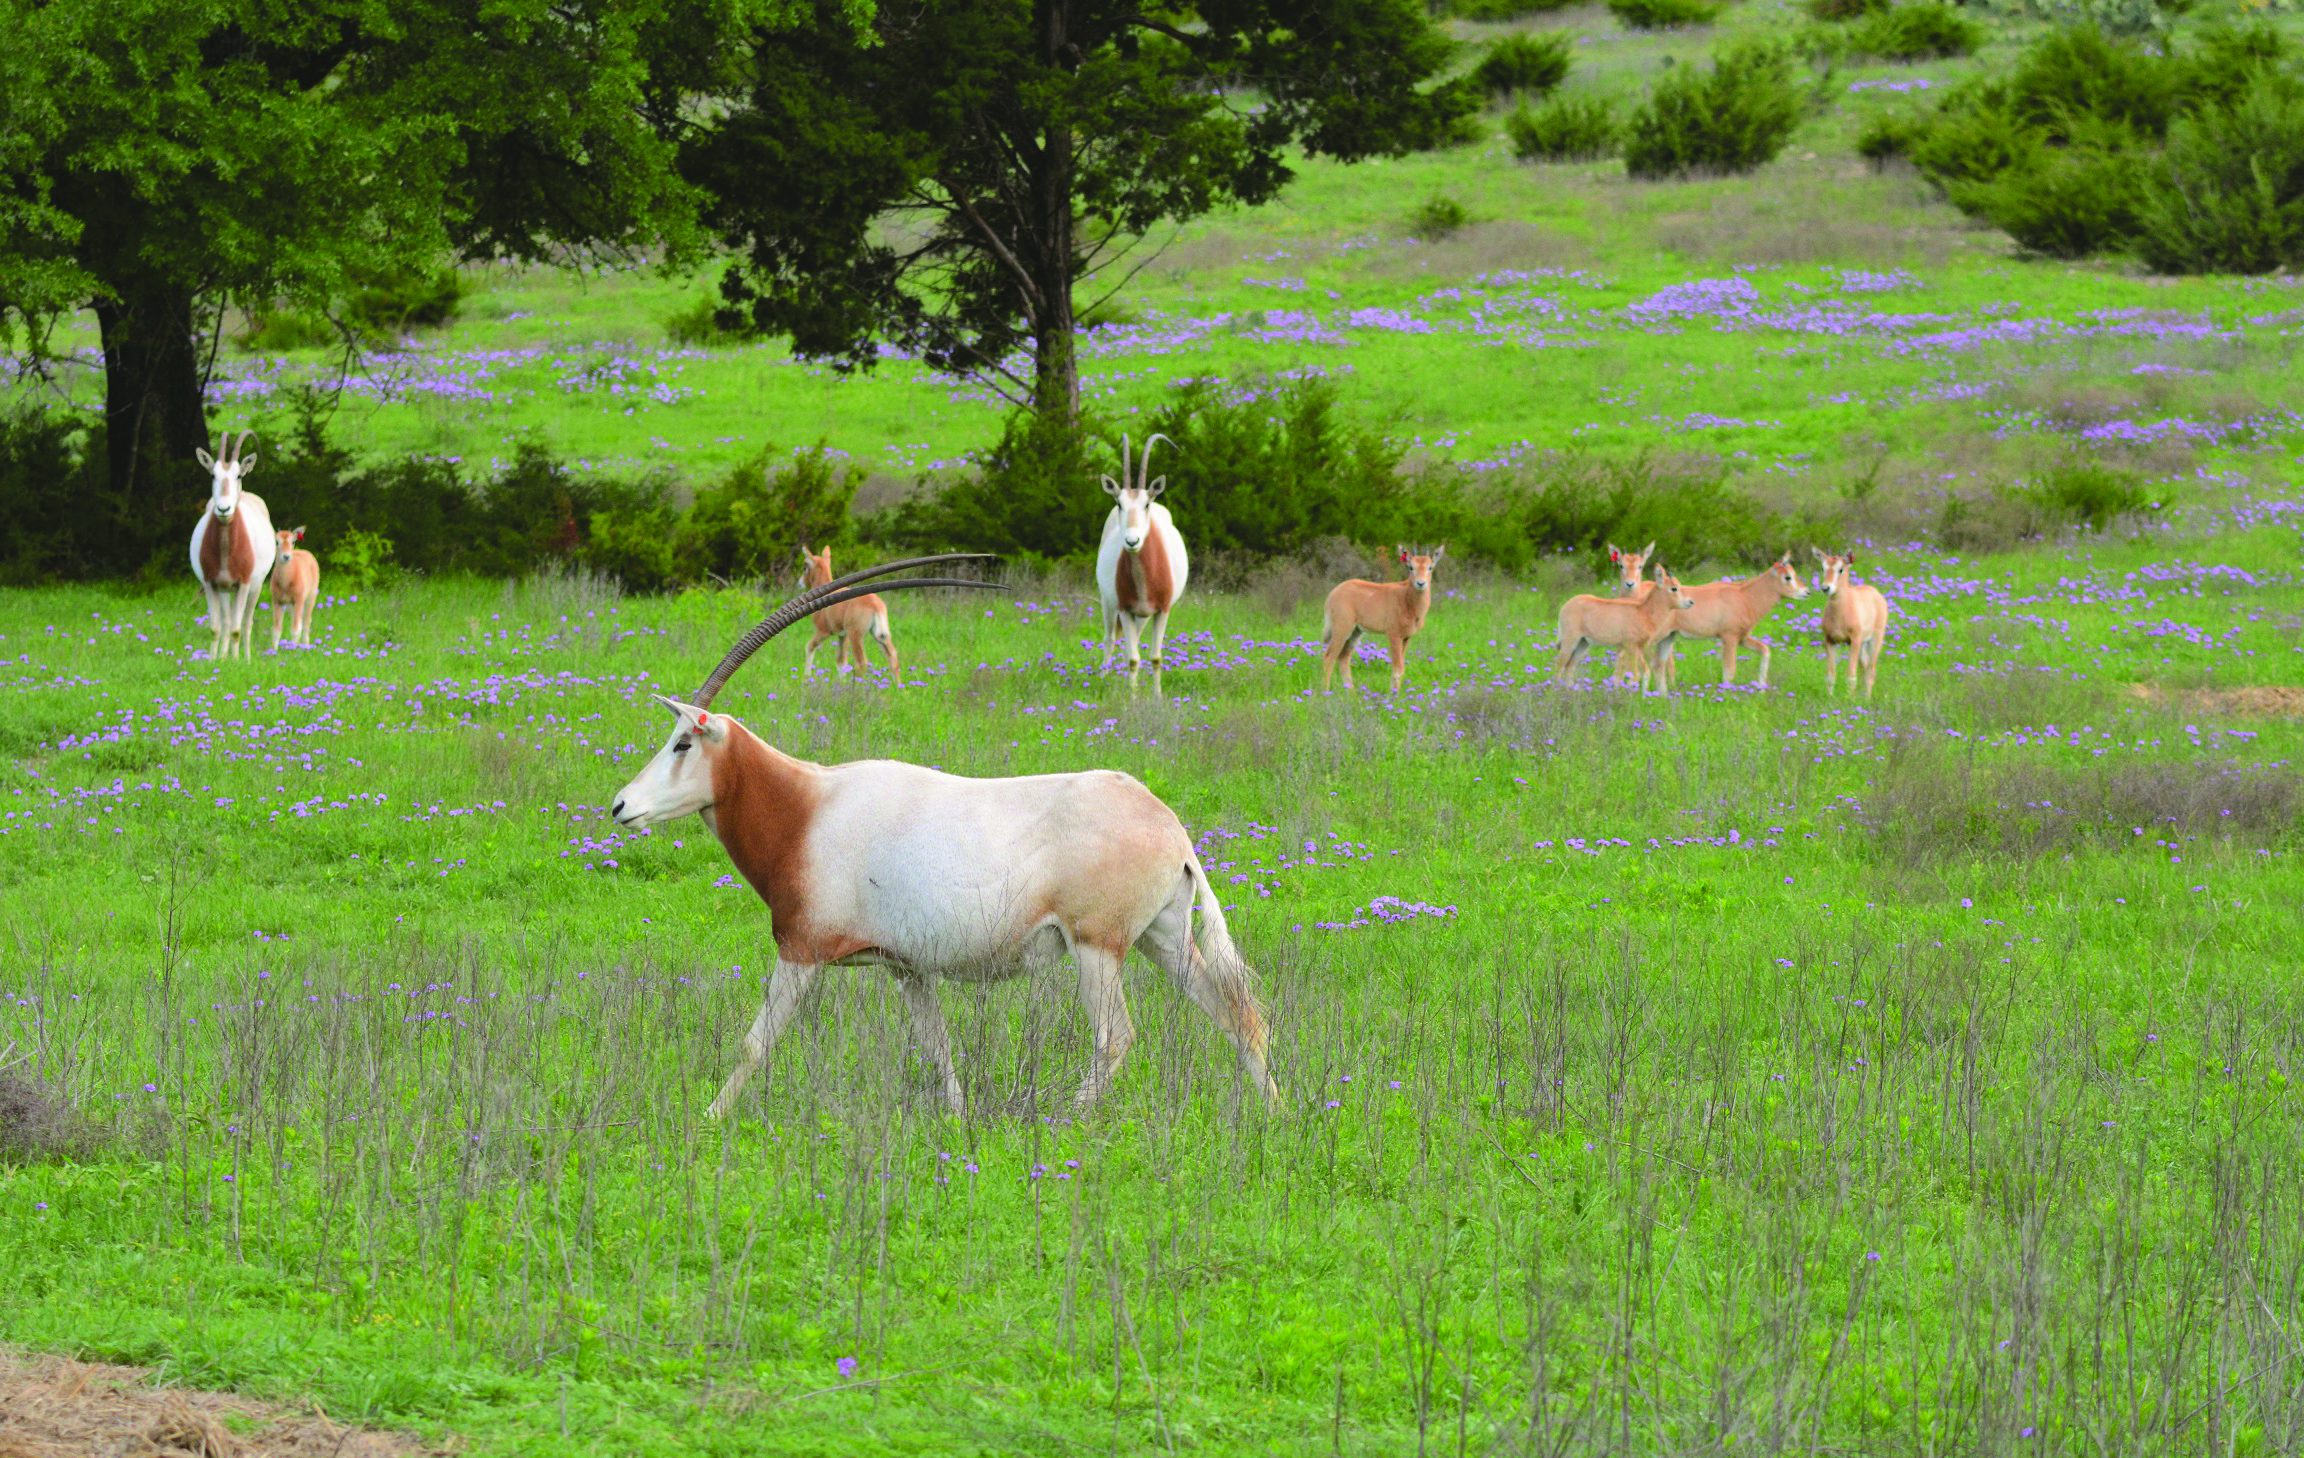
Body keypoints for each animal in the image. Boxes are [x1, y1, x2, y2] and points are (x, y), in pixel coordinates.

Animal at [797, 545, 893, 681]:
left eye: (805, 566)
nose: (800, 583)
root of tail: (875, 604)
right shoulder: (843, 635)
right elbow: (841, 661)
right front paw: (841, 682)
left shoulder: (823, 631)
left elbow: (809, 646)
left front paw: (806, 679)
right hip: (879, 635)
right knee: (892, 657)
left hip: (855, 635)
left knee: (861, 662)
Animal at [1317, 543, 1437, 690]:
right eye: (1411, 567)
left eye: (1430, 567)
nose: (1420, 583)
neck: (1406, 598)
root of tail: (1333, 593)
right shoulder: (1393, 635)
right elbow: (1397, 668)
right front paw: (1393, 694)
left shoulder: (1406, 637)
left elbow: (1400, 668)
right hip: (1342, 629)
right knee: (1328, 656)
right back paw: (1325, 692)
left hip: (1356, 632)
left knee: (1343, 658)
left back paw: (1352, 693)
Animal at [1548, 562, 1695, 686]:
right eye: (1674, 588)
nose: (1690, 602)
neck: (1644, 611)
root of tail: (1567, 605)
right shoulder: (1631, 646)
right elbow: (1635, 675)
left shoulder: (1637, 648)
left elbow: (1643, 673)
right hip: (1570, 641)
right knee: (1559, 665)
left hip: (1583, 643)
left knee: (1570, 666)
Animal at [1649, 557, 1806, 695]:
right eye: (1788, 577)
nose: (1806, 592)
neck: (1744, 596)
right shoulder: (1729, 637)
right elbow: (1730, 671)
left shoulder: (1742, 638)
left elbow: (1765, 650)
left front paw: (1761, 690)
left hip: (1667, 637)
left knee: (1659, 664)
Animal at [1815, 550, 1889, 700]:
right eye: (1823, 568)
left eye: (1841, 569)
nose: (1825, 588)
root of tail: (1877, 594)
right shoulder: (1830, 641)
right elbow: (1830, 675)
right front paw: (1830, 698)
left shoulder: (1854, 641)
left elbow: (1850, 674)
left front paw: (1850, 700)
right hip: (1862, 644)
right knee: (1864, 666)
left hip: (1875, 639)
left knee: (1871, 669)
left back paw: (1866, 698)